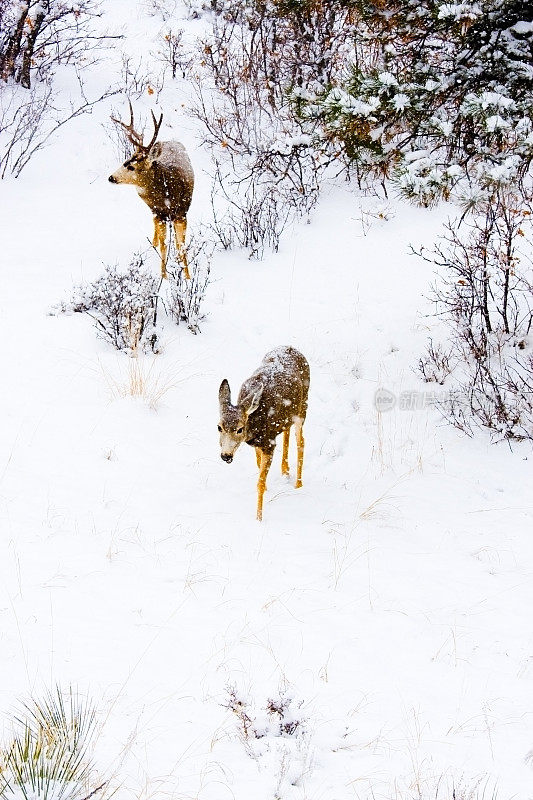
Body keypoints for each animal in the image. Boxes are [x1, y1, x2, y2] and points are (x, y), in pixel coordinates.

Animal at [108, 103, 193, 280]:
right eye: (125, 160)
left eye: (131, 166)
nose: (111, 177)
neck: (168, 191)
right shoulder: (159, 213)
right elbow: (164, 246)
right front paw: (164, 277)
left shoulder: (182, 213)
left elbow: (181, 246)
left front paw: (188, 277)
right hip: (154, 210)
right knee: (156, 229)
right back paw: (153, 244)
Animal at [217, 346, 310, 520]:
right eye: (219, 427)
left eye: (240, 429)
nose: (226, 455)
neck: (254, 426)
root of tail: (292, 347)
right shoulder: (258, 443)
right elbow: (258, 464)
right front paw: (267, 488)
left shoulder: (268, 443)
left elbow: (259, 482)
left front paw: (259, 518)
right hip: (288, 415)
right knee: (287, 431)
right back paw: (285, 470)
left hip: (303, 407)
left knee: (301, 441)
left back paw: (298, 484)